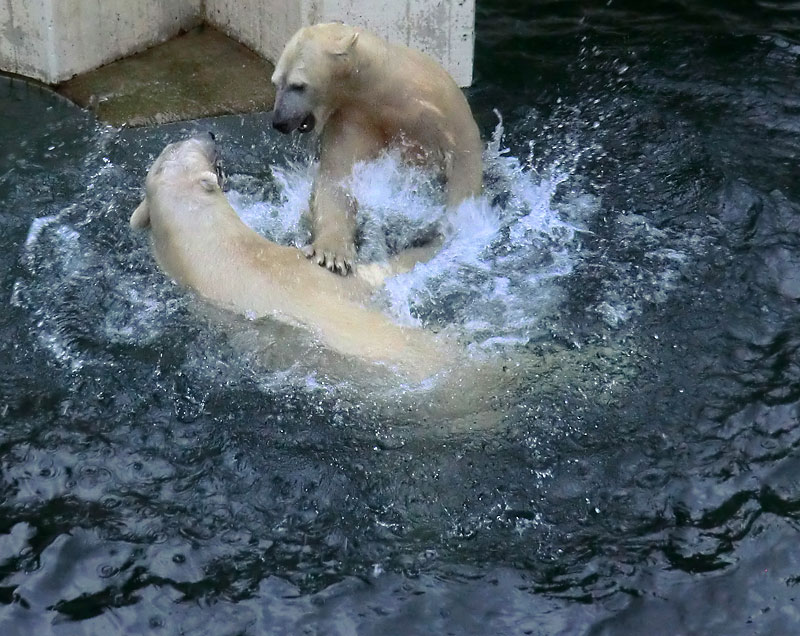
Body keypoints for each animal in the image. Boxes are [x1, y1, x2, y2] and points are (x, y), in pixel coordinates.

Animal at [133, 134, 456, 380]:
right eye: (192, 147)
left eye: (174, 144)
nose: (209, 135)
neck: (221, 250)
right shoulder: (310, 274)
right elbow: (377, 273)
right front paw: (436, 239)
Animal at [270, 21, 482, 274]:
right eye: (276, 82)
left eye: (298, 85)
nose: (279, 121)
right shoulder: (354, 118)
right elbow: (338, 177)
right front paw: (332, 254)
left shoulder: (433, 119)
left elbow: (459, 173)